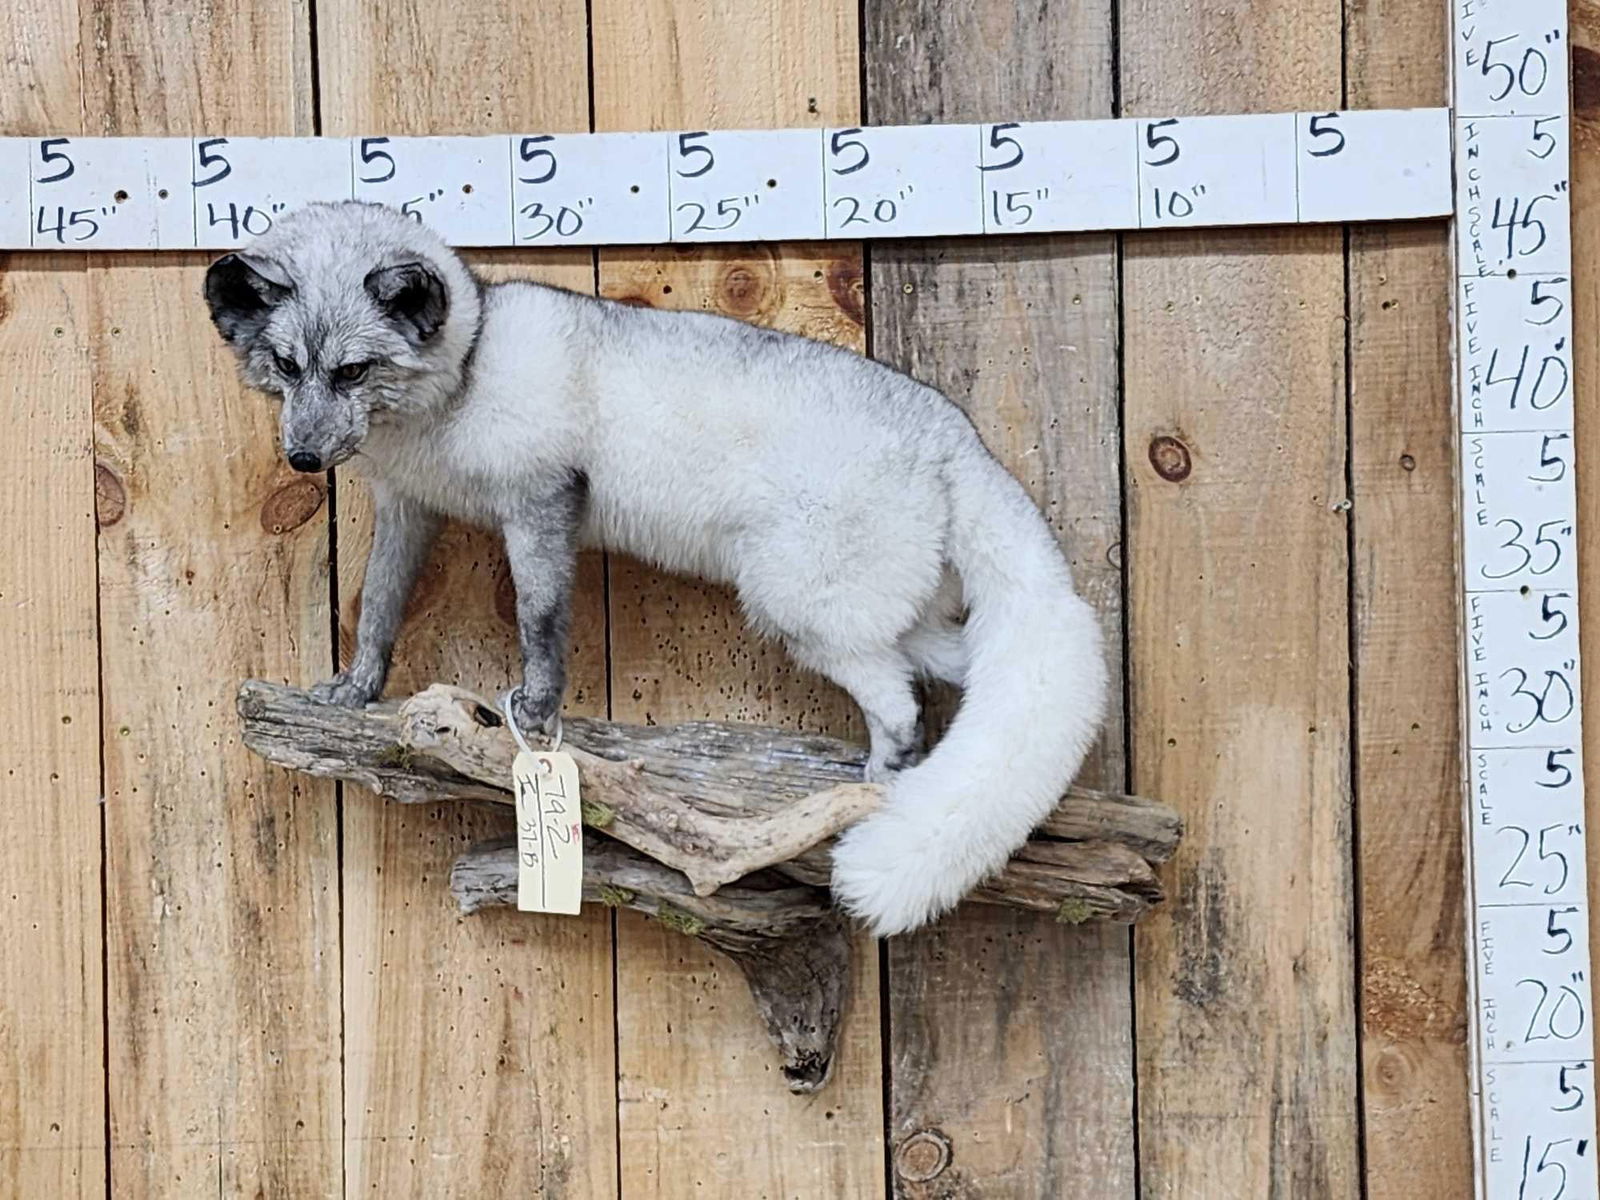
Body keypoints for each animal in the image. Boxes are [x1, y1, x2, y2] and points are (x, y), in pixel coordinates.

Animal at [202, 200, 1107, 935]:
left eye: (353, 370)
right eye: (287, 365)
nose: (302, 457)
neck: (464, 371)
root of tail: (955, 438)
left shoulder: (540, 502)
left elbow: (539, 622)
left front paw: (536, 709)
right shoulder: (410, 509)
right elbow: (380, 606)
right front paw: (357, 688)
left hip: (800, 609)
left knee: (905, 709)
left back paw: (871, 786)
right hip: (891, 614)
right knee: (959, 667)